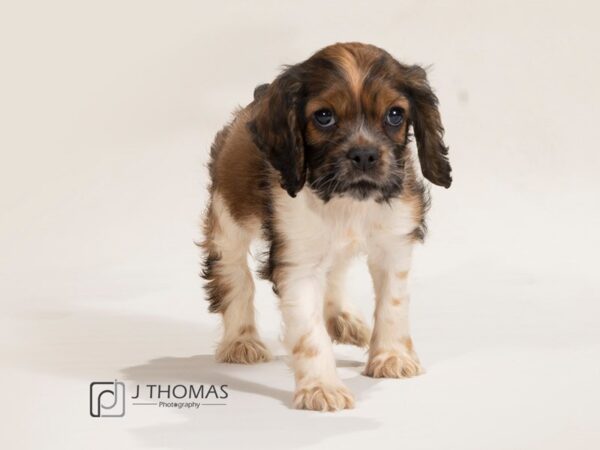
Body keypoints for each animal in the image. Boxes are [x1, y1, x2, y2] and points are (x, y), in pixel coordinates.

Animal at [202, 42, 450, 412]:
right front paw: (321, 387)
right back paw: (240, 341)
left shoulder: (394, 244)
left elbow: (392, 303)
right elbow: (309, 330)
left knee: (335, 270)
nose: (364, 155)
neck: (347, 202)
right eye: (324, 116)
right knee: (235, 277)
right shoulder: (297, 262)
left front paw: (391, 356)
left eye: (395, 114)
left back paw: (344, 319)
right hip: (227, 217)